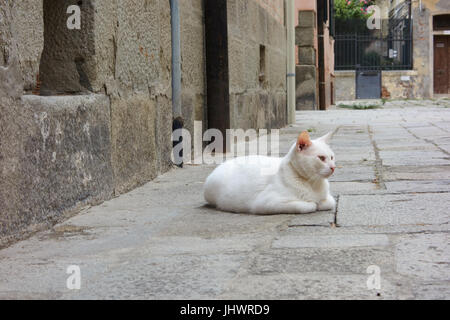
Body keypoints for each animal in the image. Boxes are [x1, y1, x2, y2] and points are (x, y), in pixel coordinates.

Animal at [202, 130, 336, 215]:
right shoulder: (266, 203)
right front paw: (313, 204)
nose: (333, 167)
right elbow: (308, 205)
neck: (313, 184)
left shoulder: (328, 199)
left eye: (332, 157)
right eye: (321, 158)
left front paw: (320, 203)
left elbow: (329, 202)